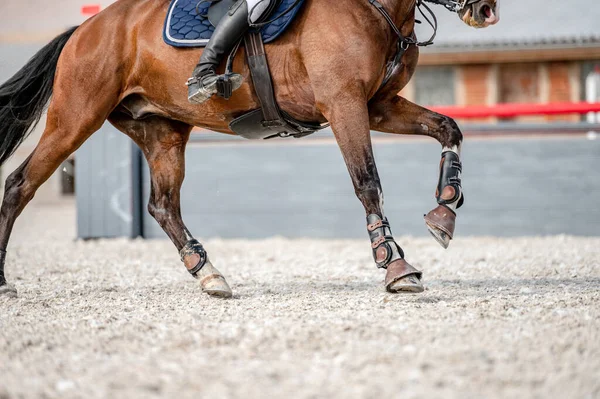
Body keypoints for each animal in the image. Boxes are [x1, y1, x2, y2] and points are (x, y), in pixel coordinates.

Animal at [0, 0, 500, 298]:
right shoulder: (345, 104)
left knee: (163, 205)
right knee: (19, 185)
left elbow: (448, 129)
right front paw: (395, 265)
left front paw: (444, 213)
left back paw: (208, 273)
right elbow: (368, 182)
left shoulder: (377, 106)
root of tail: (85, 30)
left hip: (163, 131)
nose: (486, 10)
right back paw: (4, 282)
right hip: (75, 117)